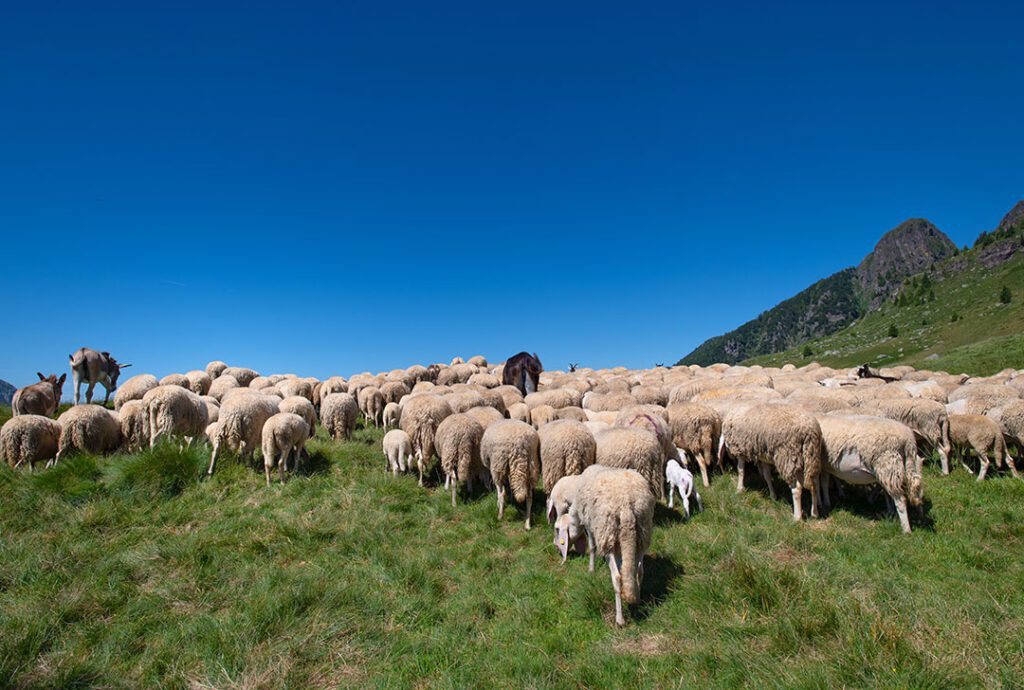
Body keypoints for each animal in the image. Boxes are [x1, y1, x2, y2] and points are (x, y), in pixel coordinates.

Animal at [552, 464, 655, 626]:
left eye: (557, 529)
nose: (555, 545)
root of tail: (626, 503)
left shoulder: (590, 524)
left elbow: (592, 547)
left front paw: (591, 569)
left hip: (607, 532)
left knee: (617, 577)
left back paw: (620, 619)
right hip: (642, 533)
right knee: (639, 571)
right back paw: (637, 600)